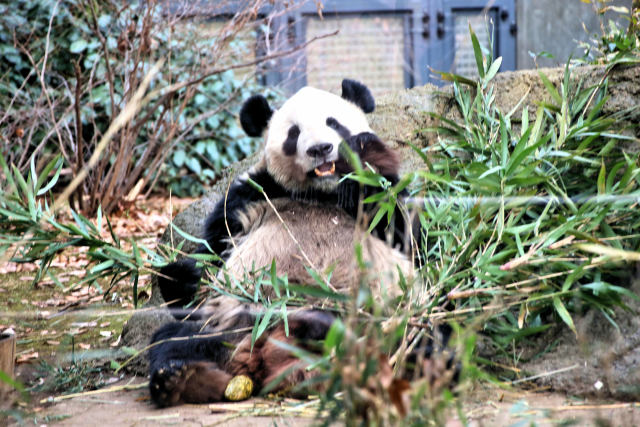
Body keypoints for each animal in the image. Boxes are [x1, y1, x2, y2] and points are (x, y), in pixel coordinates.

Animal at [150, 79, 420, 408]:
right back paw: (180, 380)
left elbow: (404, 234)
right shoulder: (253, 195)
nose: (320, 149)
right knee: (175, 339)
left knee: (427, 339)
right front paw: (184, 276)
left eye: (333, 123)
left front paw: (366, 157)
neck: (321, 193)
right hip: (232, 324)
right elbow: (212, 251)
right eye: (294, 133)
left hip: (387, 320)